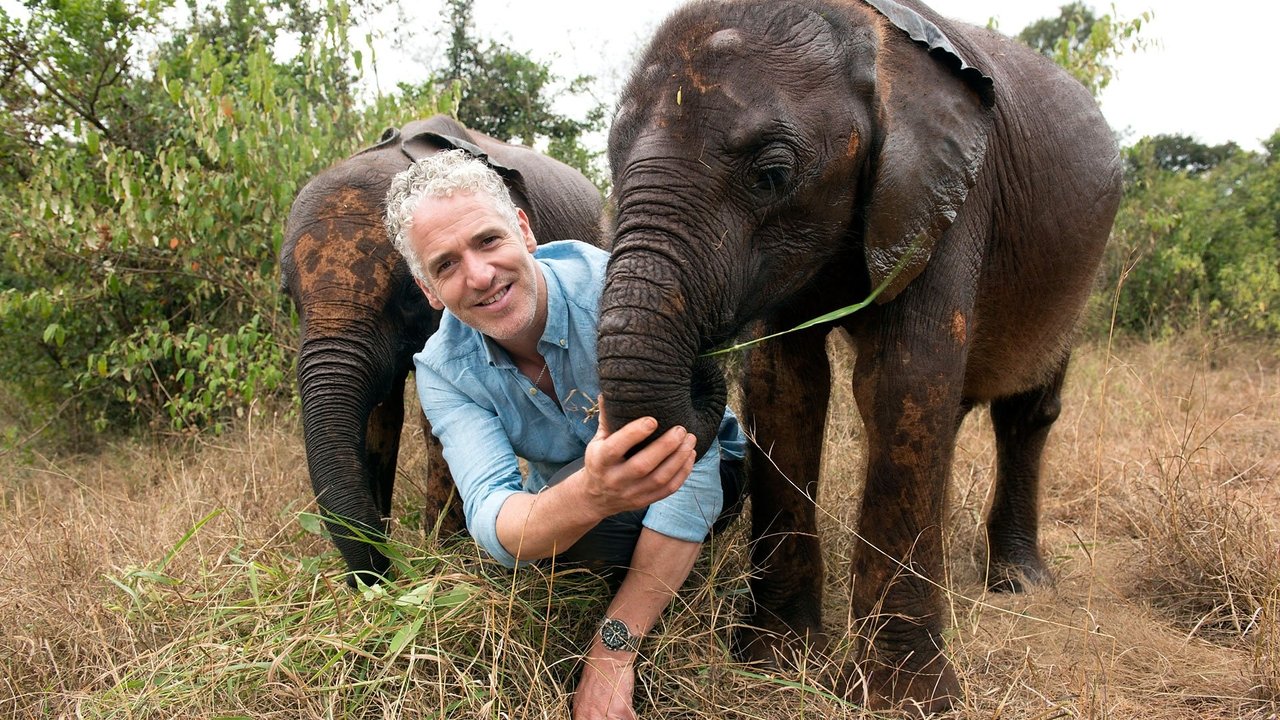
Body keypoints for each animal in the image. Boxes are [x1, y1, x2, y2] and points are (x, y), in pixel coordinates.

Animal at [279, 112, 604, 584]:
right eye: (288, 296)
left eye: (408, 295)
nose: (383, 573)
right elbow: (382, 413)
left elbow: (431, 423)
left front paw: (445, 556)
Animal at [596, 0, 1121, 707]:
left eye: (772, 176)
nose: (702, 378)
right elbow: (784, 384)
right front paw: (775, 662)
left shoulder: (953, 198)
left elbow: (902, 383)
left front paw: (905, 700)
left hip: (1079, 272)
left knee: (1026, 408)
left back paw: (1019, 582)